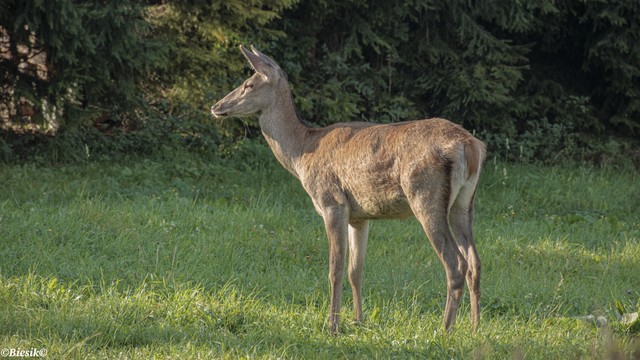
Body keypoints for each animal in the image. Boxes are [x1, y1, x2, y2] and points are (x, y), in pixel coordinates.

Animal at [210, 45, 484, 334]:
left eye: (248, 84)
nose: (216, 106)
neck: (302, 152)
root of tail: (470, 145)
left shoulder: (332, 202)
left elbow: (335, 268)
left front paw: (332, 324)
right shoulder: (360, 216)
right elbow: (356, 270)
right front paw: (358, 319)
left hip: (425, 195)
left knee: (456, 263)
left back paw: (445, 328)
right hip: (464, 203)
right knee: (475, 261)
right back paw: (475, 326)